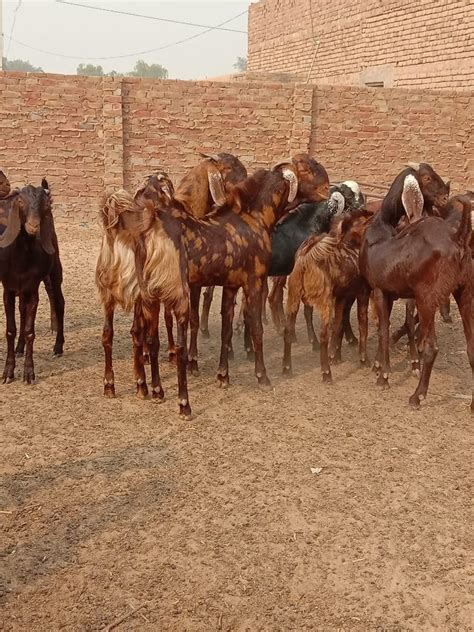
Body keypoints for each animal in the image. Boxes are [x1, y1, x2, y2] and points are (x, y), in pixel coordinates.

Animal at [0, 180, 65, 382]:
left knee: (59, 302)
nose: (33, 226)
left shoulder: (32, 288)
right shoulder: (9, 289)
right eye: (20, 201)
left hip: (55, 269)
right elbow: (10, 330)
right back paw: (19, 348)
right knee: (22, 310)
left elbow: (30, 331)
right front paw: (8, 372)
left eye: (44, 204)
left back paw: (58, 347)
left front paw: (28, 373)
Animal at [94, 178, 193, 418]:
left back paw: (110, 385)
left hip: (108, 292)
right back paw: (153, 389)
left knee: (108, 334)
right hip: (157, 292)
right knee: (144, 334)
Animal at [282, 211, 374, 380]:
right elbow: (362, 326)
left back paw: (287, 368)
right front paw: (364, 360)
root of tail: (306, 257)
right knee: (323, 334)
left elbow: (337, 326)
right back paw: (326, 373)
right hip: (324, 302)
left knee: (288, 330)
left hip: (293, 298)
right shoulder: (362, 293)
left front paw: (334, 356)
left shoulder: (341, 298)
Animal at [360, 163, 474, 410]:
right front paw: (378, 366)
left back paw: (417, 396)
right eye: (427, 178)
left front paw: (384, 376)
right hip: (465, 292)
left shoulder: (380, 290)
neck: (383, 227)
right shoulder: (392, 293)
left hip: (427, 297)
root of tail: (458, 237)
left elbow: (383, 331)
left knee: (431, 347)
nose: (445, 196)